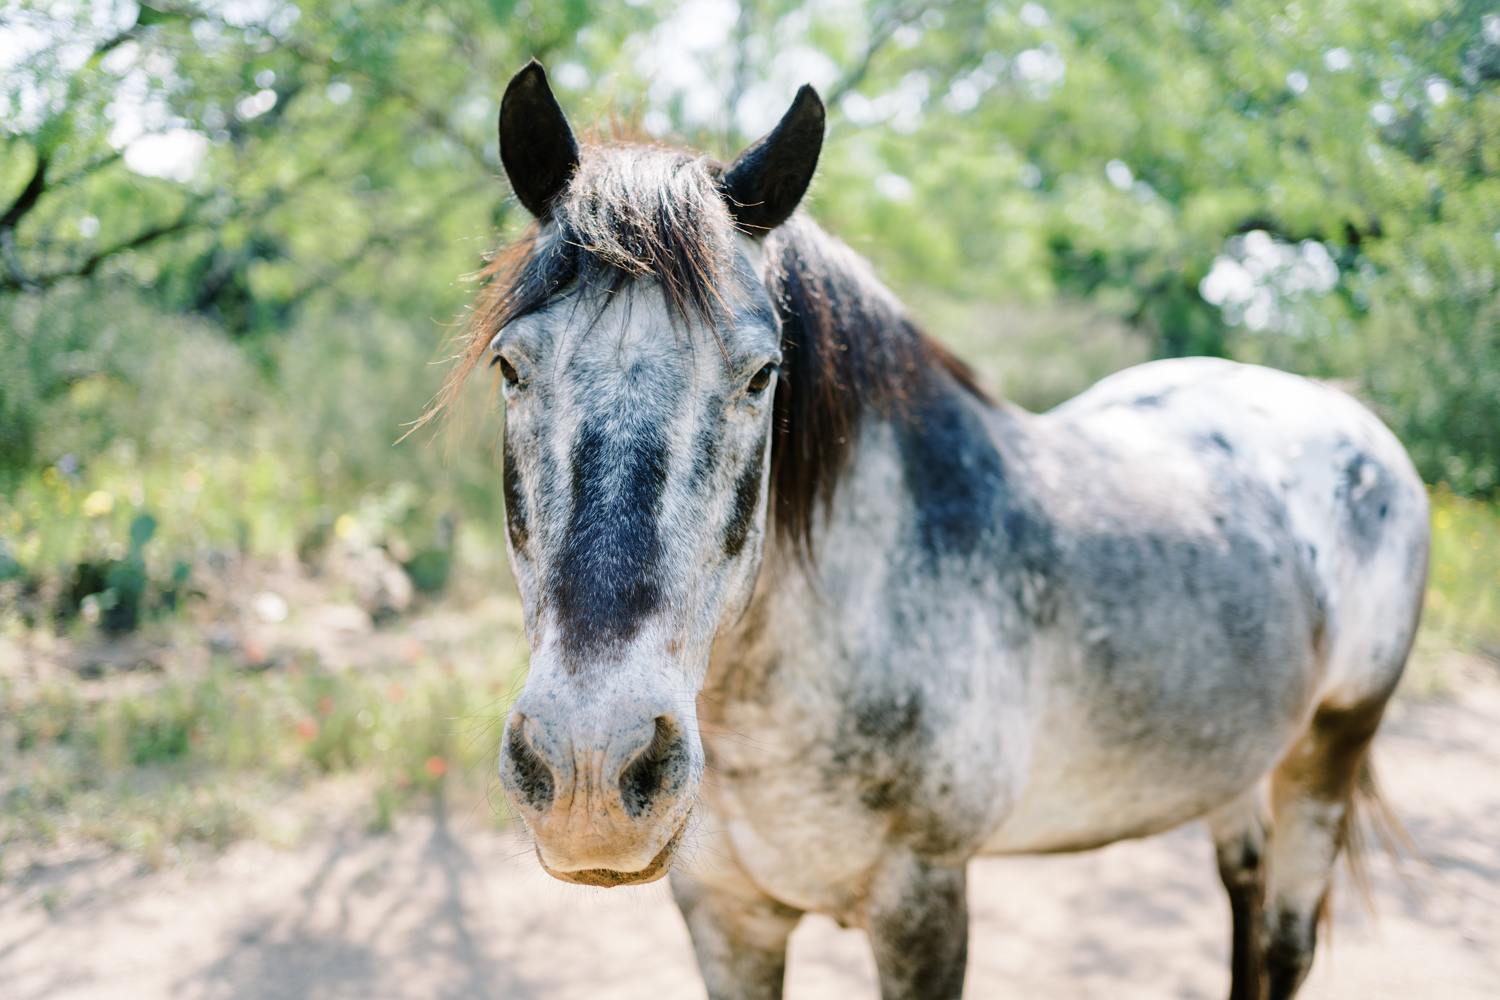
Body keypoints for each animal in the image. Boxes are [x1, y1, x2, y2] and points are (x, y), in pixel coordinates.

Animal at [446, 61, 1429, 1000]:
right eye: (509, 367)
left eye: (762, 374)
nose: (590, 768)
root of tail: (1352, 420)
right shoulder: (726, 915)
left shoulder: (922, 901)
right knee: (1242, 889)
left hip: (1331, 748)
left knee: (1285, 939)